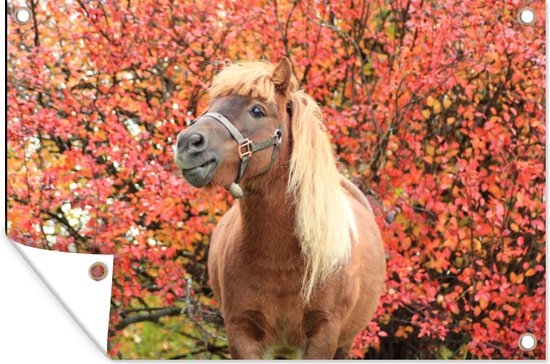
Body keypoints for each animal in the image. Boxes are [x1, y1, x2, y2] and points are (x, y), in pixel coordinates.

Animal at [175, 57, 386, 358]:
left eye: (257, 110)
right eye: (212, 104)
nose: (187, 143)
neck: (281, 260)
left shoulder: (323, 336)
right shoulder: (242, 334)